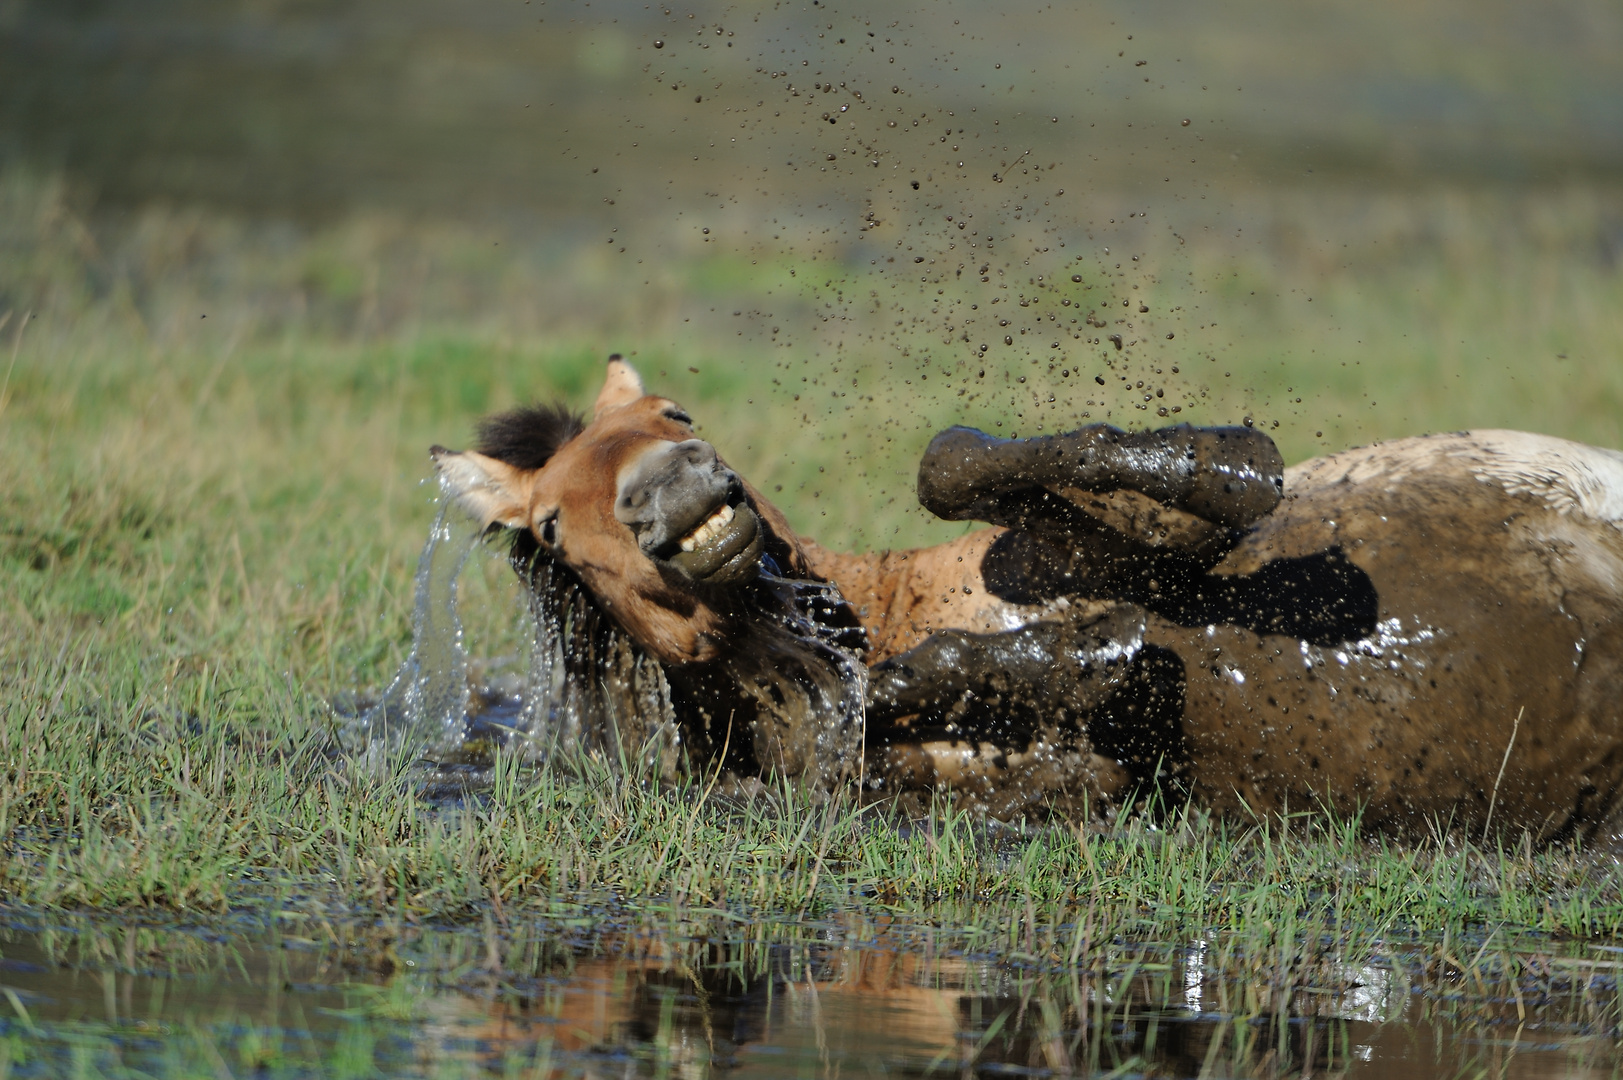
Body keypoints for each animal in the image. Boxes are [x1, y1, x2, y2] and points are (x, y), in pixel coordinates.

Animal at [431, 357, 1623, 838]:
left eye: (676, 411)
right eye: (550, 524)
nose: (667, 488)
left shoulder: (1094, 545)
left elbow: (959, 460)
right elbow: (1086, 687)